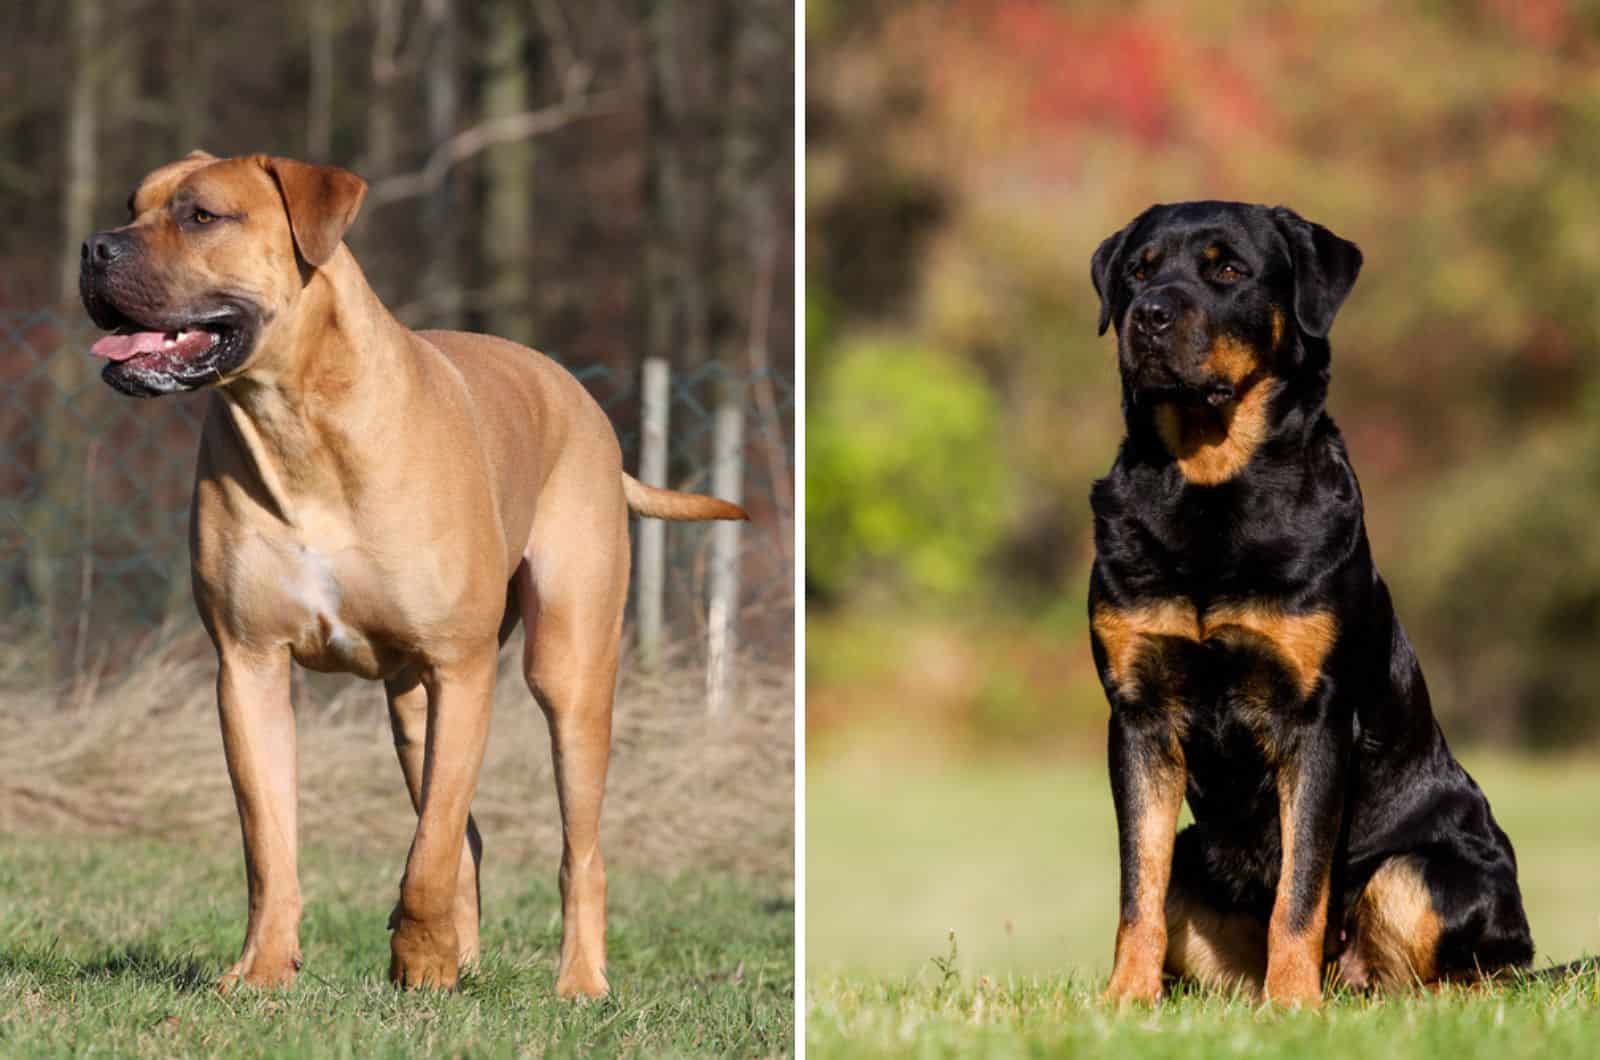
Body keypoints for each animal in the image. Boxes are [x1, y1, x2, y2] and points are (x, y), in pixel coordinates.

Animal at [78, 153, 745, 999]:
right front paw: (264, 972)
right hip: (412, 710)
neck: (297, 421)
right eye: (132, 206)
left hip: (568, 673)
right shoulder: (248, 668)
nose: (93, 247)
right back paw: (468, 961)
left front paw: (420, 962)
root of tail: (583, 399)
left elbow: (428, 854)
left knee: (573, 849)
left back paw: (578, 982)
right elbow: (271, 847)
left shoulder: (461, 669)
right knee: (467, 835)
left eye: (202, 215)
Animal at [1094, 203, 1529, 1011]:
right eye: (1137, 271)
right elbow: (1139, 885)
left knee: (1469, 973)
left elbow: (1300, 888)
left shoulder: (1317, 716)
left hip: (1429, 871)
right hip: (1197, 857)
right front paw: (1123, 1000)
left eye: (1227, 269)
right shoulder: (1138, 714)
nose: (1149, 314)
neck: (1210, 487)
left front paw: (1292, 1005)